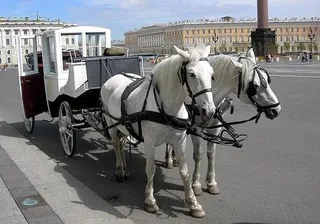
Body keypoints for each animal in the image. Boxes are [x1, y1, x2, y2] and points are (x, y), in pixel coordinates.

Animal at [100, 45, 215, 217]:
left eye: (212, 74)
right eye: (192, 74)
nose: (209, 111)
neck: (167, 107)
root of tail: (112, 77)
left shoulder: (179, 140)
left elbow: (184, 171)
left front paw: (193, 203)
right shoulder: (149, 141)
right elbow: (151, 169)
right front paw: (150, 201)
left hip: (123, 126)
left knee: (121, 145)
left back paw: (125, 169)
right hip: (112, 125)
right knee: (115, 145)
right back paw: (120, 170)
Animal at [166, 47, 282, 196]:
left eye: (267, 79)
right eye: (254, 85)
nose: (276, 109)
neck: (210, 98)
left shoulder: (216, 127)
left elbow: (211, 154)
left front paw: (211, 183)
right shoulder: (195, 128)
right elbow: (198, 155)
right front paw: (196, 184)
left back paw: (175, 159)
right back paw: (169, 159)